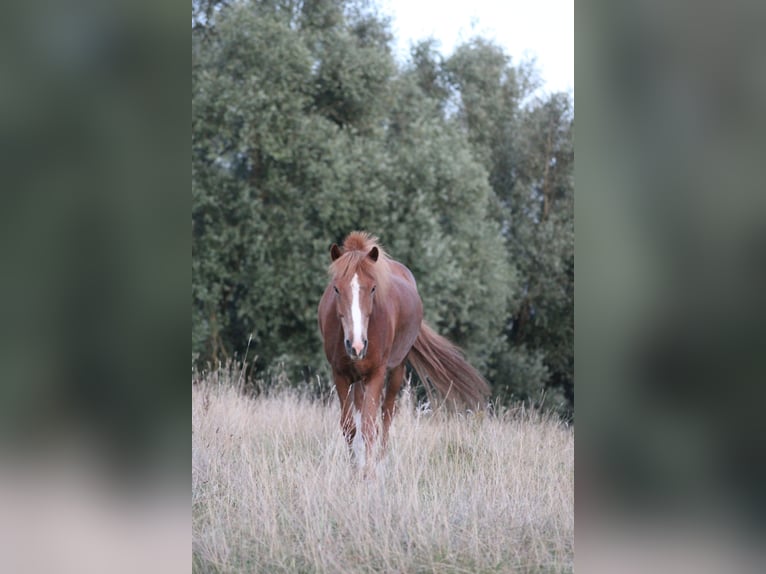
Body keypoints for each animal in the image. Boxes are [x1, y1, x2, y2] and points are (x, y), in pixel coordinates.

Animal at [317, 231, 490, 473]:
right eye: (336, 288)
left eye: (373, 288)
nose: (357, 345)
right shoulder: (340, 375)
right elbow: (350, 427)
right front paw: (355, 470)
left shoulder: (377, 374)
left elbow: (370, 427)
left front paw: (369, 474)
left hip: (397, 370)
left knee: (387, 415)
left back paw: (381, 462)